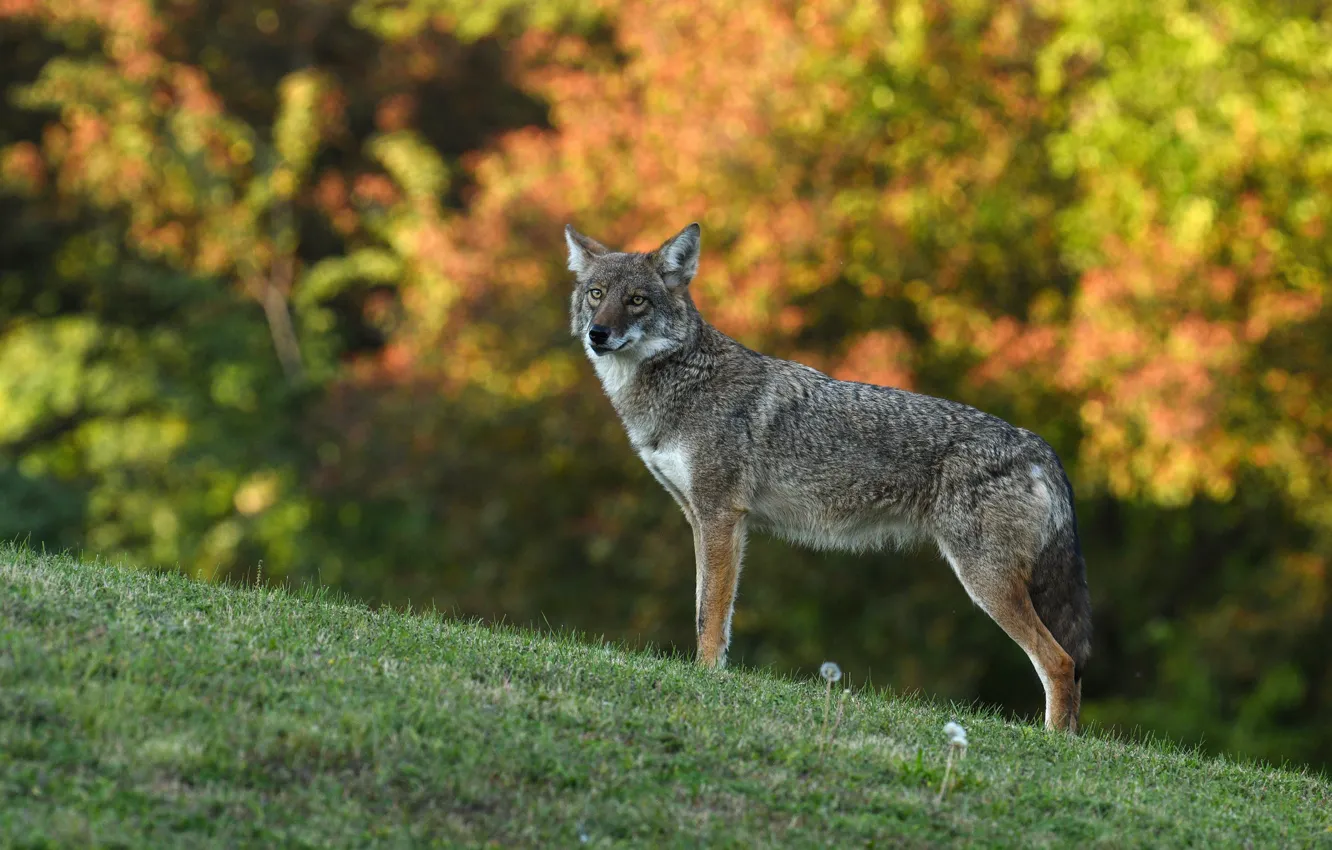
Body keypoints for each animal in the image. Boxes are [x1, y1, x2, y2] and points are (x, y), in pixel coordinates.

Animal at [565, 222, 1093, 731]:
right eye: (596, 293)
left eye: (637, 300)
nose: (598, 333)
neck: (682, 379)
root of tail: (1036, 444)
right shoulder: (701, 519)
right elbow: (704, 609)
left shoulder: (721, 518)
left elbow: (710, 615)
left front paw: (707, 676)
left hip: (985, 583)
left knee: (1061, 663)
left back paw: (1053, 742)